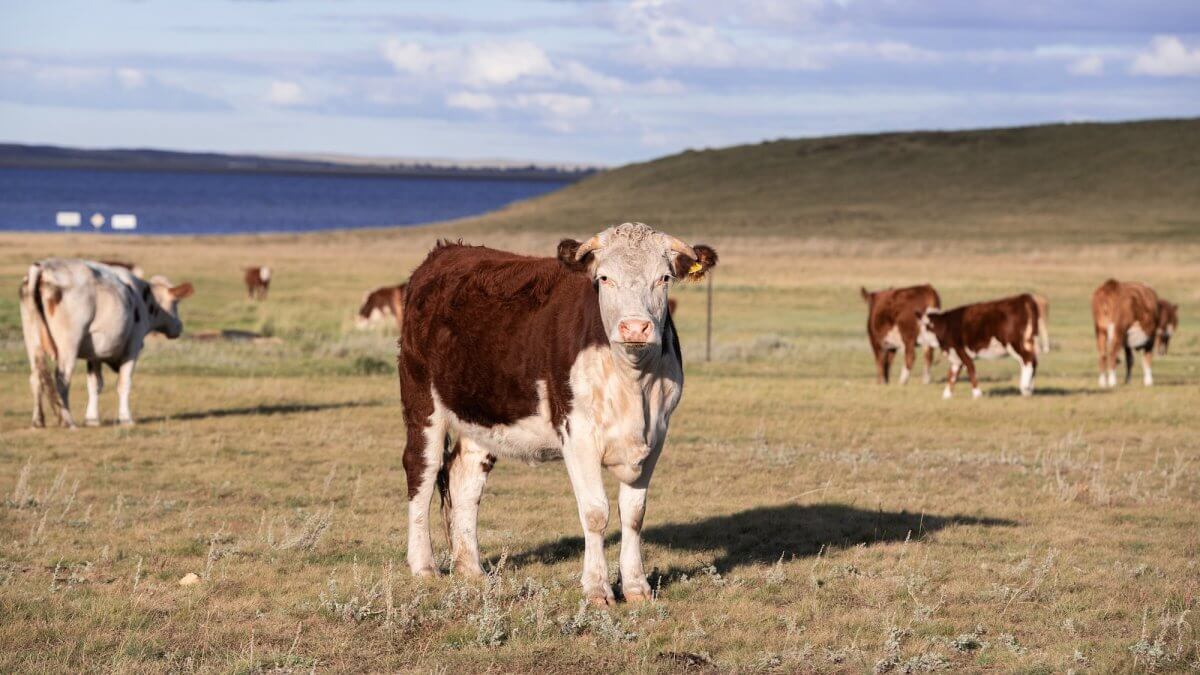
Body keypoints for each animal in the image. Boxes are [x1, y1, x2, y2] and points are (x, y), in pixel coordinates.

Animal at [17, 257, 192, 425]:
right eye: (176, 302)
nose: (179, 326)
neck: (143, 299)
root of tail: (43, 267)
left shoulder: (95, 353)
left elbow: (95, 385)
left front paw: (92, 419)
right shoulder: (133, 346)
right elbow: (124, 383)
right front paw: (126, 418)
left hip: (32, 341)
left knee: (36, 378)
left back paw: (38, 421)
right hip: (69, 345)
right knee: (62, 380)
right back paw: (68, 421)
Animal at [398, 222, 715, 605]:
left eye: (664, 278)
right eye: (604, 278)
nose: (635, 328)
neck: (633, 382)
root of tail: (446, 252)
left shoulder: (655, 435)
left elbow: (634, 514)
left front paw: (637, 587)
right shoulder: (577, 434)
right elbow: (595, 512)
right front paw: (597, 589)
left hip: (484, 410)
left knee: (464, 478)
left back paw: (471, 568)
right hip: (421, 398)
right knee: (422, 470)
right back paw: (423, 566)